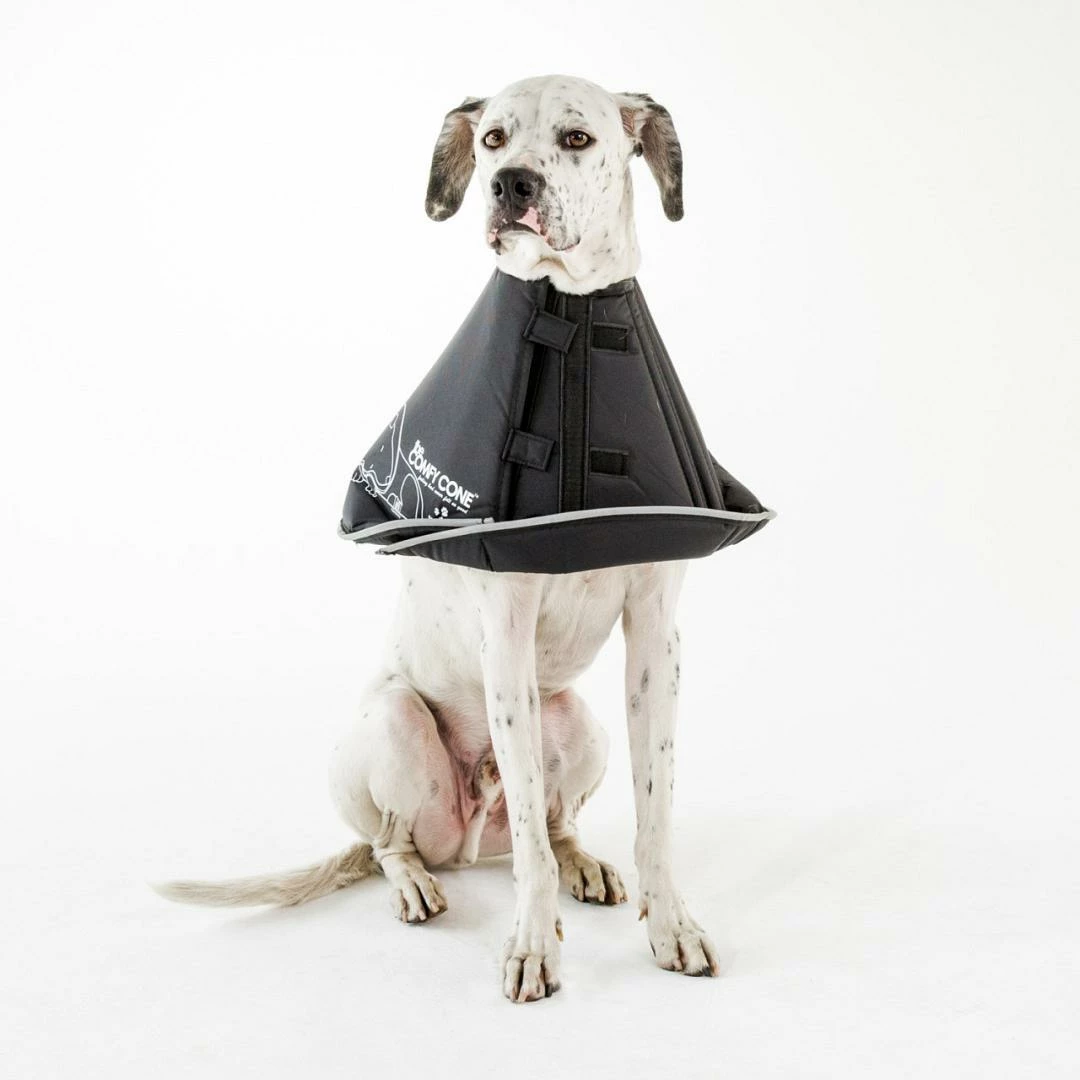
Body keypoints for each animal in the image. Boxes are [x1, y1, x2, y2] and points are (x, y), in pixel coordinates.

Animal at [157, 74, 721, 1004]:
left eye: (576, 138)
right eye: (492, 138)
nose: (509, 185)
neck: (571, 316)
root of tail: (464, 843)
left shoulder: (657, 641)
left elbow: (656, 807)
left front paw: (670, 924)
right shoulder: (505, 640)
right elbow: (527, 839)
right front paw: (532, 946)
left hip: (579, 719)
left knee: (552, 823)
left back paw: (583, 863)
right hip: (395, 726)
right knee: (402, 840)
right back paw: (418, 882)